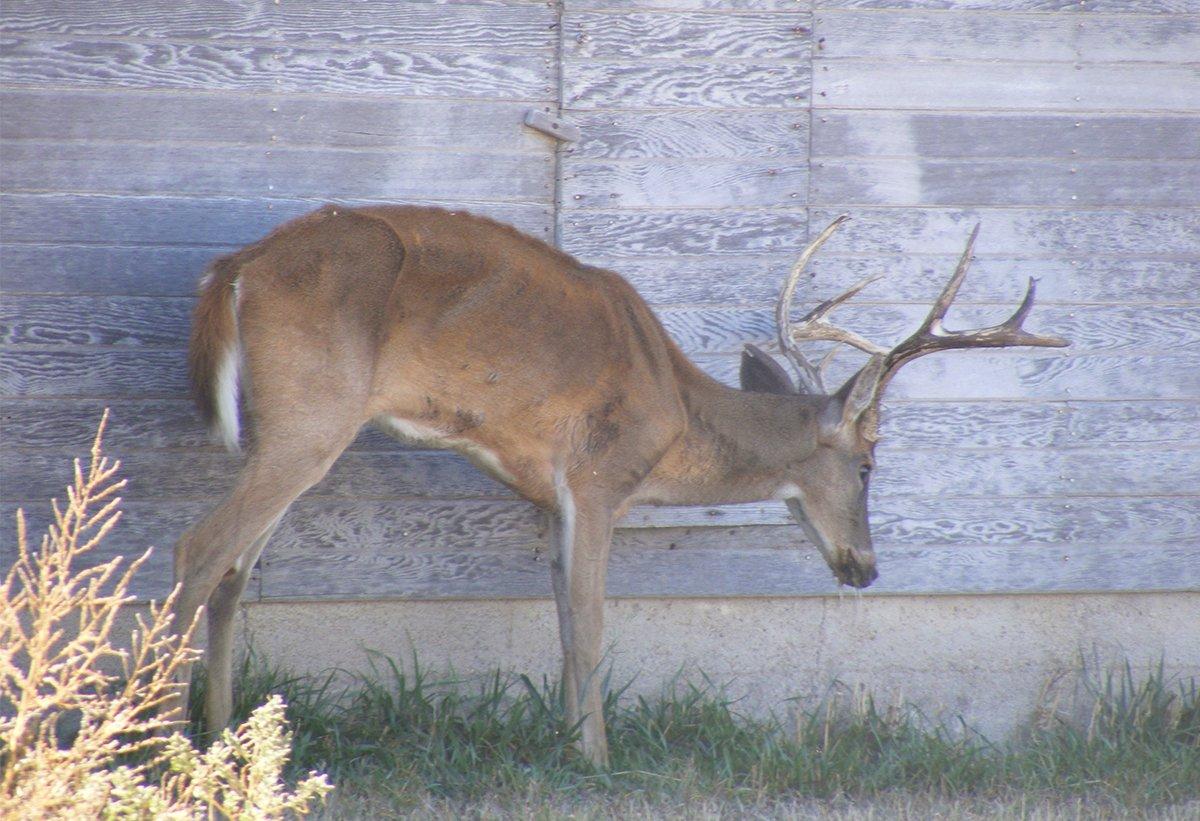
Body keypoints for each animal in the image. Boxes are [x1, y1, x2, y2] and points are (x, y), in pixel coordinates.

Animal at [171, 204, 1070, 763]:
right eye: (869, 463)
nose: (867, 567)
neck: (674, 412)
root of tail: (234, 269)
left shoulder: (551, 499)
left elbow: (566, 624)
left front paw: (567, 744)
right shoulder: (601, 477)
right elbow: (595, 625)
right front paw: (599, 758)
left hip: (292, 427)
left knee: (233, 572)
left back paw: (226, 737)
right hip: (312, 413)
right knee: (197, 548)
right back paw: (160, 741)